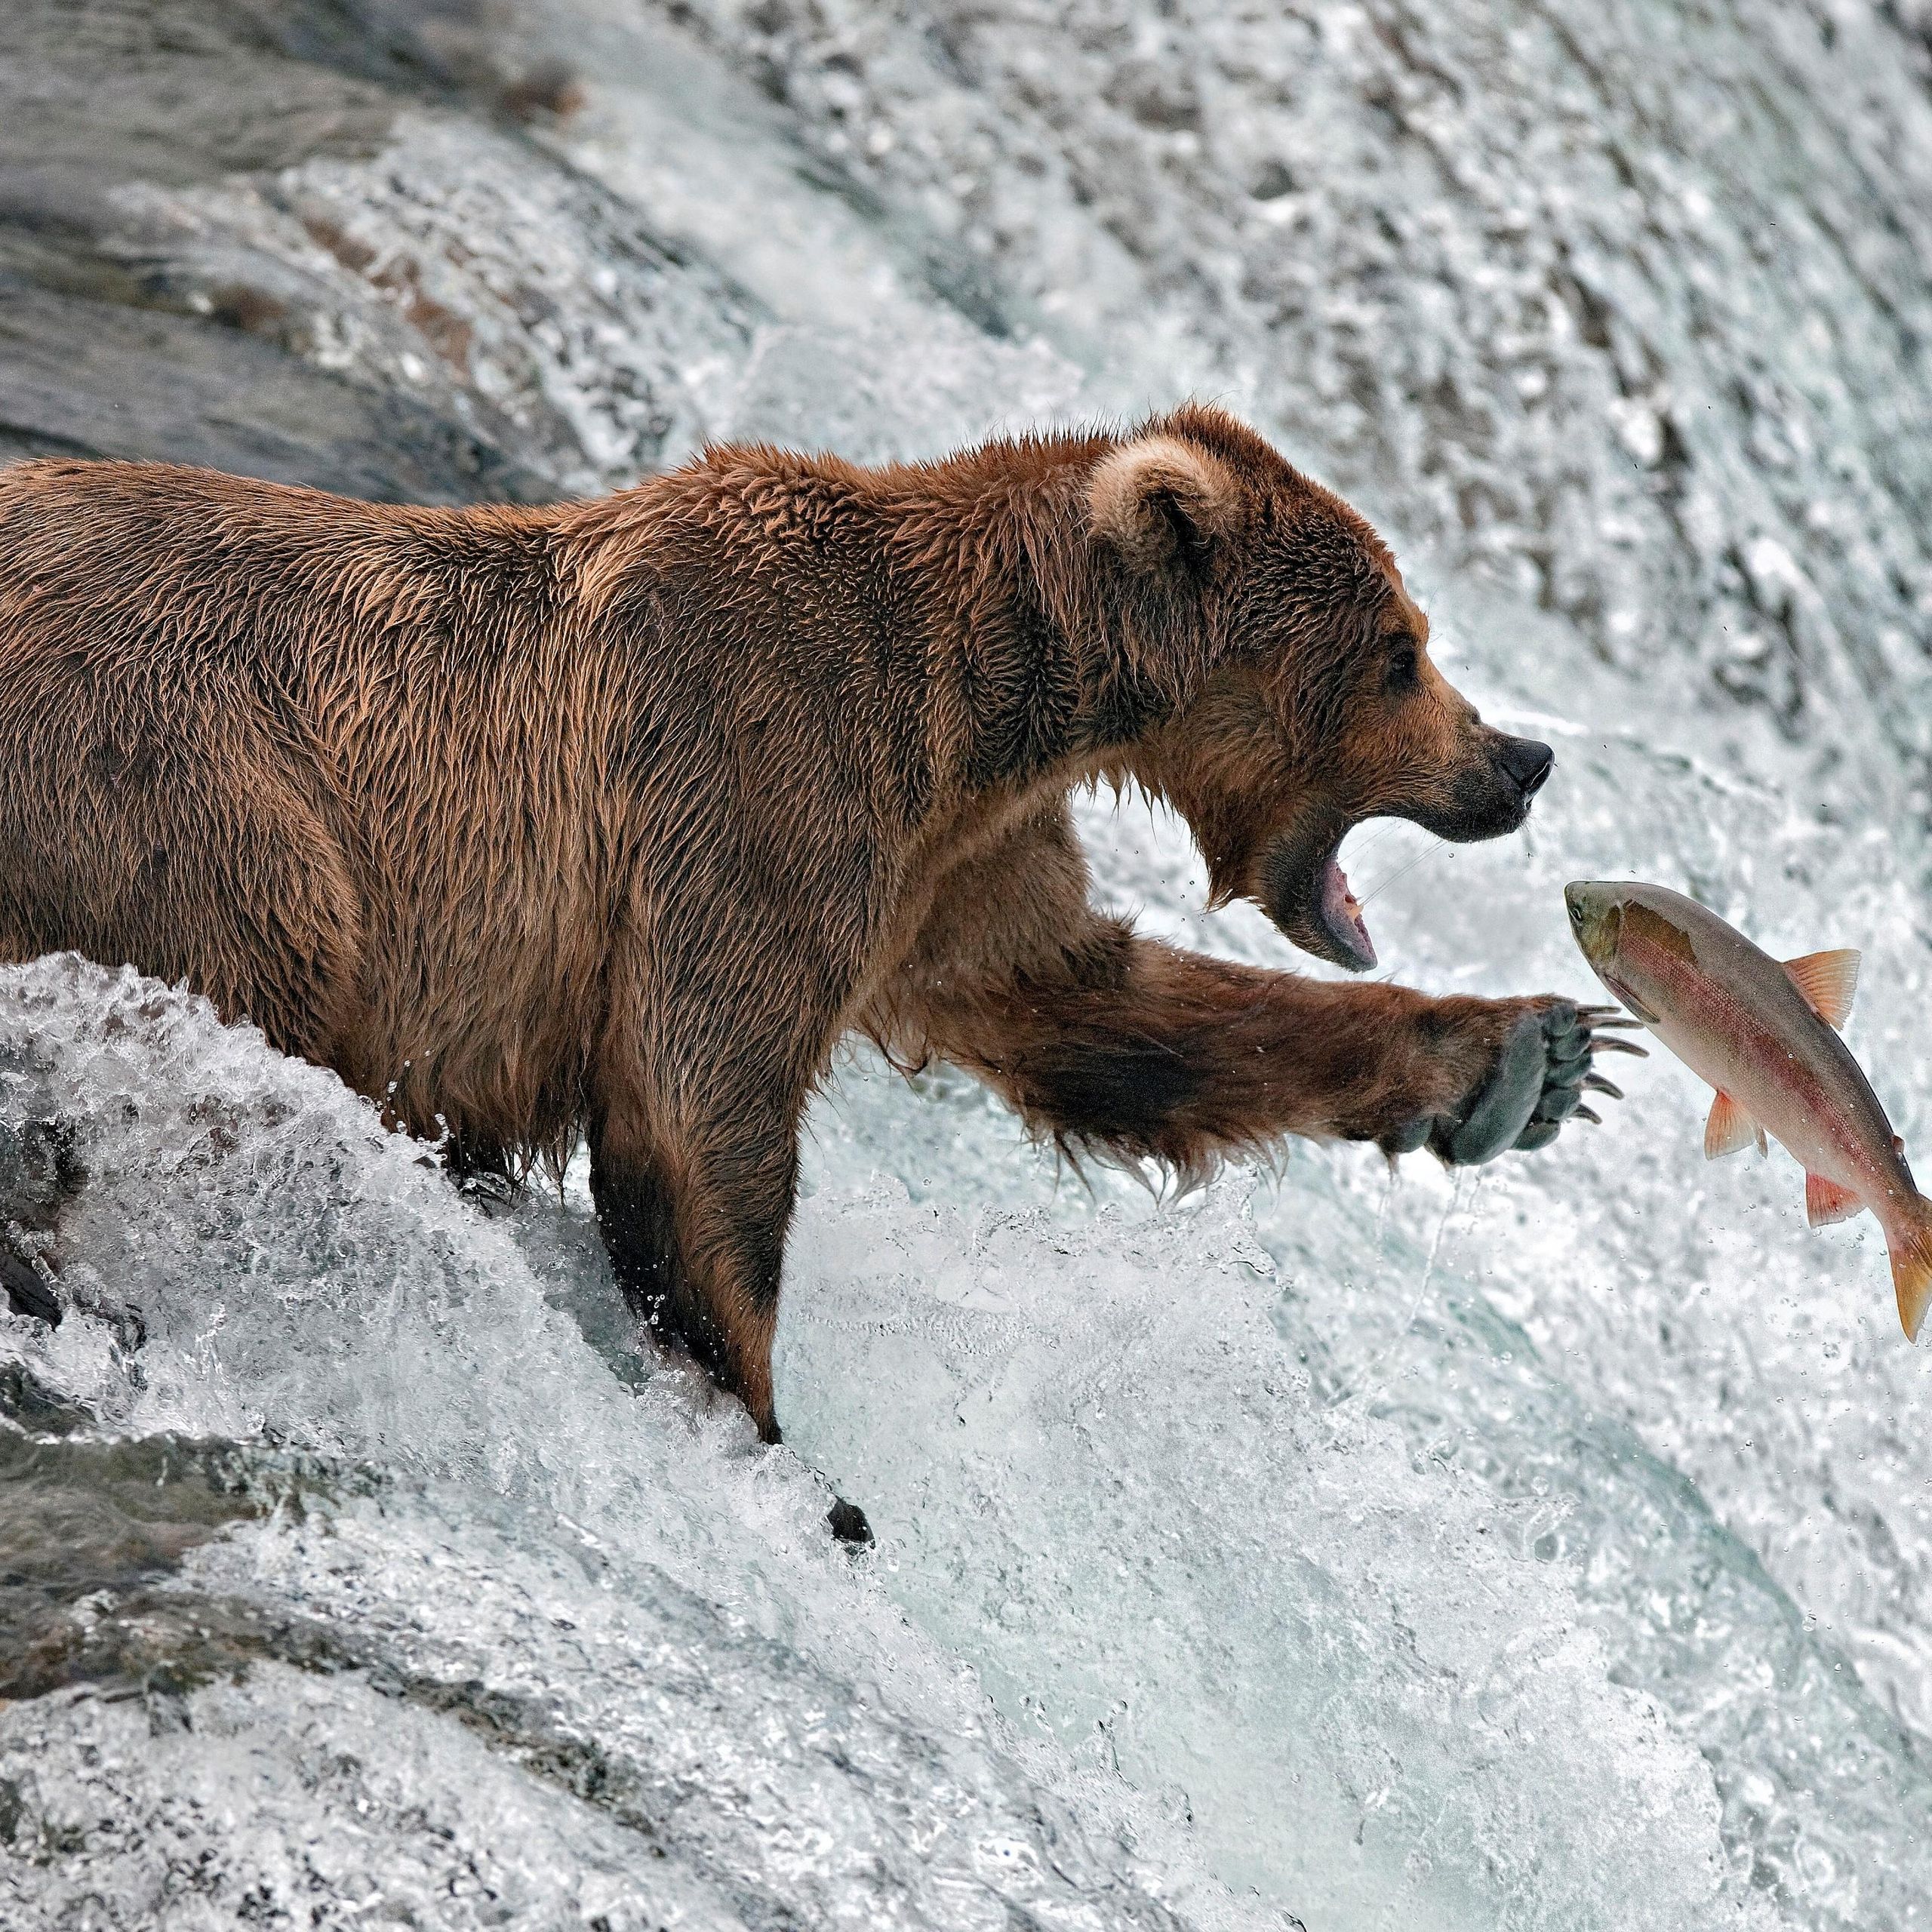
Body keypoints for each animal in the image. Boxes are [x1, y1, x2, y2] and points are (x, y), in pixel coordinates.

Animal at [0, 404, 1625, 1529]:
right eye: (1400, 650)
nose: (1520, 760)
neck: (994, 701)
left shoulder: (954, 866)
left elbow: (1097, 1009)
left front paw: (1525, 1059)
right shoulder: (756, 779)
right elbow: (701, 1117)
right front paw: (773, 1444)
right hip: (187, 792)